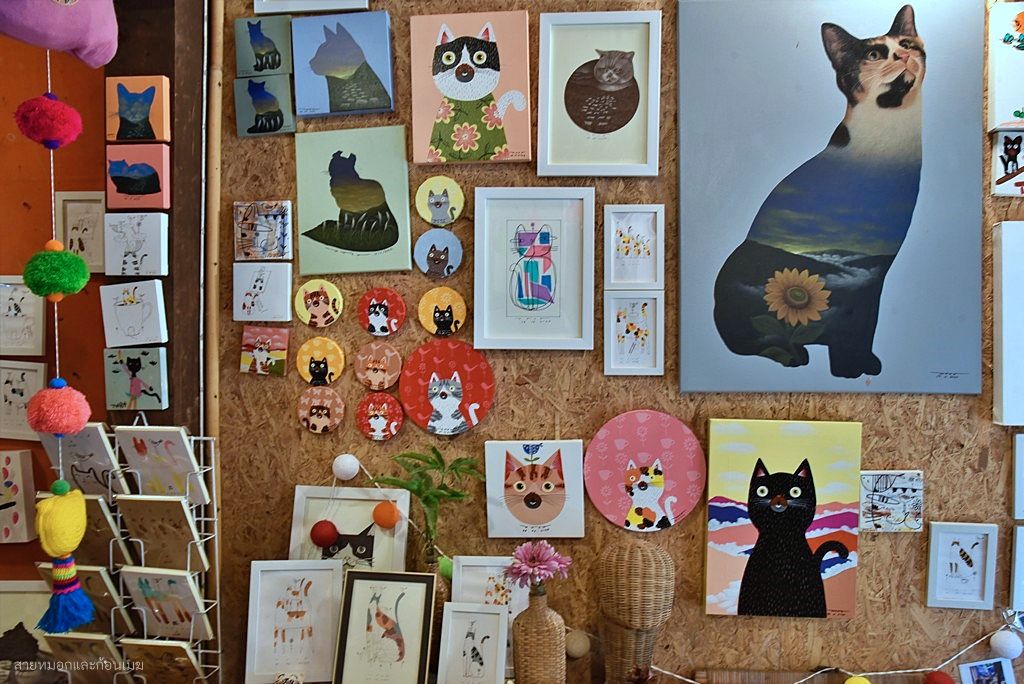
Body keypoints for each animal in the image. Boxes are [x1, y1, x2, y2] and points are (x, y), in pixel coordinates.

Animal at [714, 5, 924, 379]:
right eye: (873, 55)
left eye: (907, 43)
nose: (903, 55)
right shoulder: (868, 278)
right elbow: (854, 326)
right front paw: (849, 369)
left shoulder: (875, 271)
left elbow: (865, 324)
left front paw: (864, 363)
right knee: (748, 342)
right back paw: (791, 353)